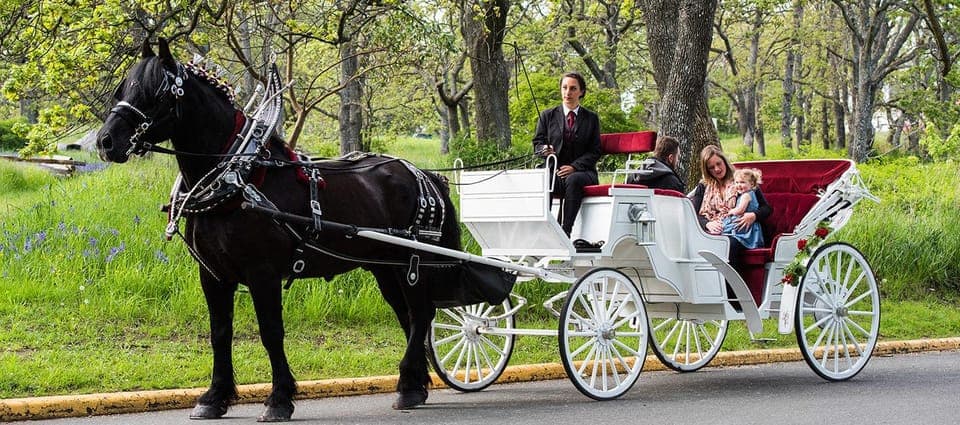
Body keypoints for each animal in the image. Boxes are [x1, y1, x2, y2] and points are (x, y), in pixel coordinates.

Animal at [95, 38, 464, 422]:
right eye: (122, 88)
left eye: (154, 92)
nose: (105, 142)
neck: (238, 179)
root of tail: (422, 173)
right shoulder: (212, 274)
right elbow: (219, 331)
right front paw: (215, 397)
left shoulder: (263, 273)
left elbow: (271, 332)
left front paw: (279, 399)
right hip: (384, 267)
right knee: (407, 315)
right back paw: (414, 384)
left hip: (414, 262)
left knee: (421, 313)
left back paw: (408, 383)